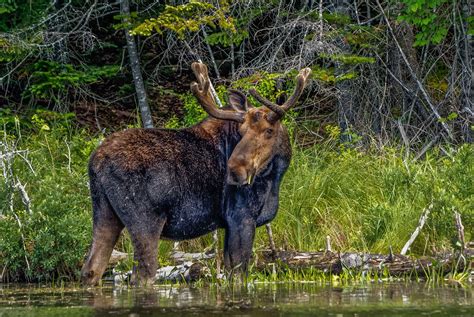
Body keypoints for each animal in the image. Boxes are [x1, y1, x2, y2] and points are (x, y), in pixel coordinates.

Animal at [81, 61, 312, 284]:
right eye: (242, 131)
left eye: (269, 131)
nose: (235, 170)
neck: (274, 177)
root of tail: (95, 162)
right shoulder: (242, 217)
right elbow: (239, 273)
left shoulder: (229, 223)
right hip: (145, 221)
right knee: (142, 275)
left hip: (104, 213)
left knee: (91, 269)